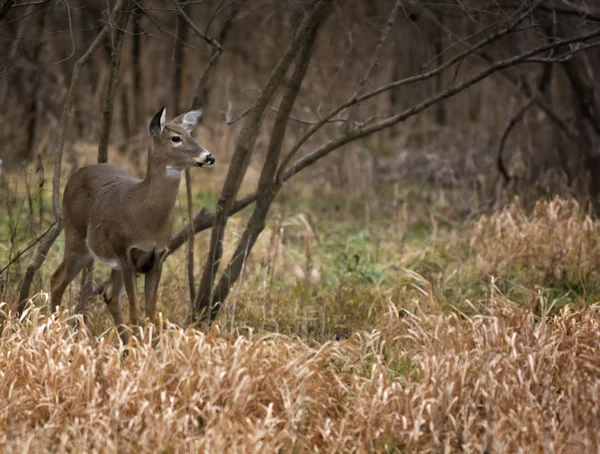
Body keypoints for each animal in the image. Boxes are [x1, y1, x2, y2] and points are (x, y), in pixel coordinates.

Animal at [48, 107, 216, 340]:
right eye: (176, 138)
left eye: (191, 134)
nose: (209, 156)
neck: (145, 217)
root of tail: (75, 174)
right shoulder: (125, 252)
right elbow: (135, 314)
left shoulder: (158, 257)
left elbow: (151, 313)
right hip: (76, 238)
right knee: (57, 281)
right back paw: (55, 333)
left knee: (109, 295)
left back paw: (122, 343)